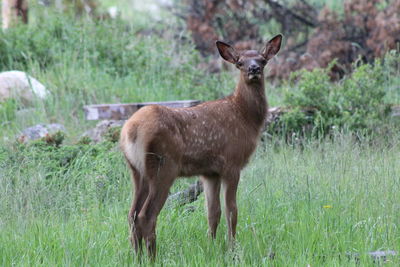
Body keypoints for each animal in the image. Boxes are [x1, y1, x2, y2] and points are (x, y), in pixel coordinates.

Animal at [120, 34, 282, 260]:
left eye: (263, 60)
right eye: (240, 62)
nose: (254, 69)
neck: (245, 117)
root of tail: (130, 131)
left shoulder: (210, 172)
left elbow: (213, 213)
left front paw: (211, 247)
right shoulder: (232, 163)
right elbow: (232, 210)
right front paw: (232, 249)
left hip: (136, 171)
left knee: (132, 214)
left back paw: (137, 256)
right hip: (163, 168)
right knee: (146, 215)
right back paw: (152, 258)